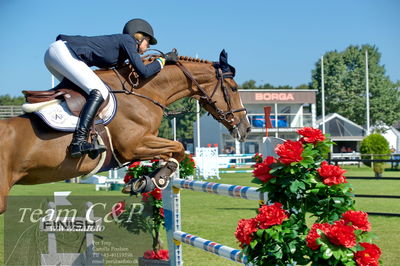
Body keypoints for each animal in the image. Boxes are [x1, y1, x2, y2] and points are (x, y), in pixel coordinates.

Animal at [0, 50, 250, 214]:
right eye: (234, 88)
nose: (246, 127)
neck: (144, 92)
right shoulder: (133, 146)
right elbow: (178, 148)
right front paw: (156, 180)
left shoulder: (143, 145)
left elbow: (172, 152)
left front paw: (145, 181)